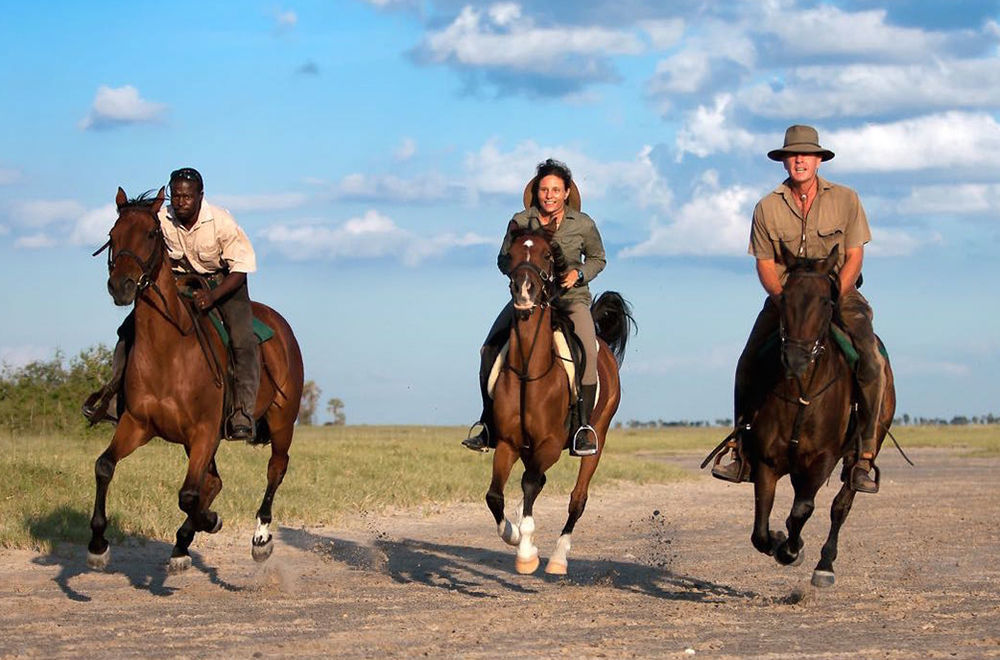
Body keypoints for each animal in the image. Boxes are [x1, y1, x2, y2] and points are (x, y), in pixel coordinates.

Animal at [87, 188, 302, 576]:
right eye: (113, 235)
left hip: (281, 423)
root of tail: (281, 326)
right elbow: (104, 466)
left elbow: (188, 495)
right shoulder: (137, 425)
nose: (121, 286)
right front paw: (98, 545)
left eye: (151, 234)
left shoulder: (204, 432)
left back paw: (260, 538)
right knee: (214, 481)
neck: (168, 351)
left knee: (275, 470)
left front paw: (212, 521)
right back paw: (181, 546)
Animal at [484, 220, 632, 572]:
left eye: (547, 255)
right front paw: (514, 535)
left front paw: (526, 553)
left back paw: (558, 558)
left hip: (596, 439)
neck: (529, 370)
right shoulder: (508, 442)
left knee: (577, 499)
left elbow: (529, 483)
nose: (524, 291)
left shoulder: (549, 445)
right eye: (511, 254)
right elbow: (495, 496)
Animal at [744, 246, 900, 588]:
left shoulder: (823, 459)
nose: (796, 358)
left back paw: (825, 564)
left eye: (826, 301)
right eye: (784, 298)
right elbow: (760, 530)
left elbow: (802, 509)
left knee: (841, 505)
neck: (803, 390)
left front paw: (792, 550)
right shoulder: (766, 461)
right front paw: (781, 543)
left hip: (860, 453)